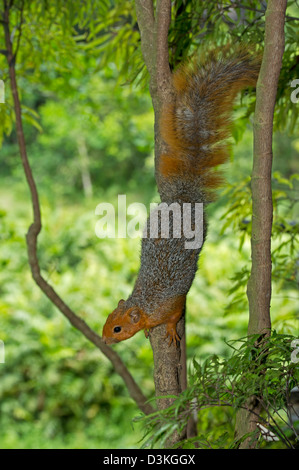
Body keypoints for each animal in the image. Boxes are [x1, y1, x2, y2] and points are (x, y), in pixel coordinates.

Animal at [102, 46, 262, 346]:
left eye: (117, 328)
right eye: (107, 320)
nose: (104, 340)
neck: (146, 304)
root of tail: (184, 199)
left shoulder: (172, 304)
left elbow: (174, 316)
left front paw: (169, 331)